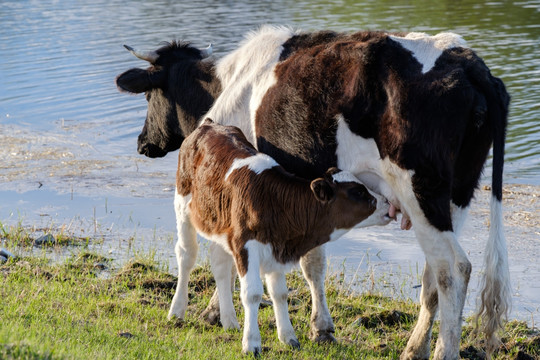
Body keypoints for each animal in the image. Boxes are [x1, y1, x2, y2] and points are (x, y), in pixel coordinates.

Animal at [173, 119, 392, 352]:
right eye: (357, 192)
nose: (388, 204)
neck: (275, 200)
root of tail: (210, 124)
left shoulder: (277, 244)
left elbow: (280, 293)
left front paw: (288, 337)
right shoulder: (245, 244)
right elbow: (252, 293)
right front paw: (251, 343)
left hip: (219, 224)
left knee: (220, 263)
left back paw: (229, 320)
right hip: (183, 205)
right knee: (186, 255)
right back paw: (177, 311)